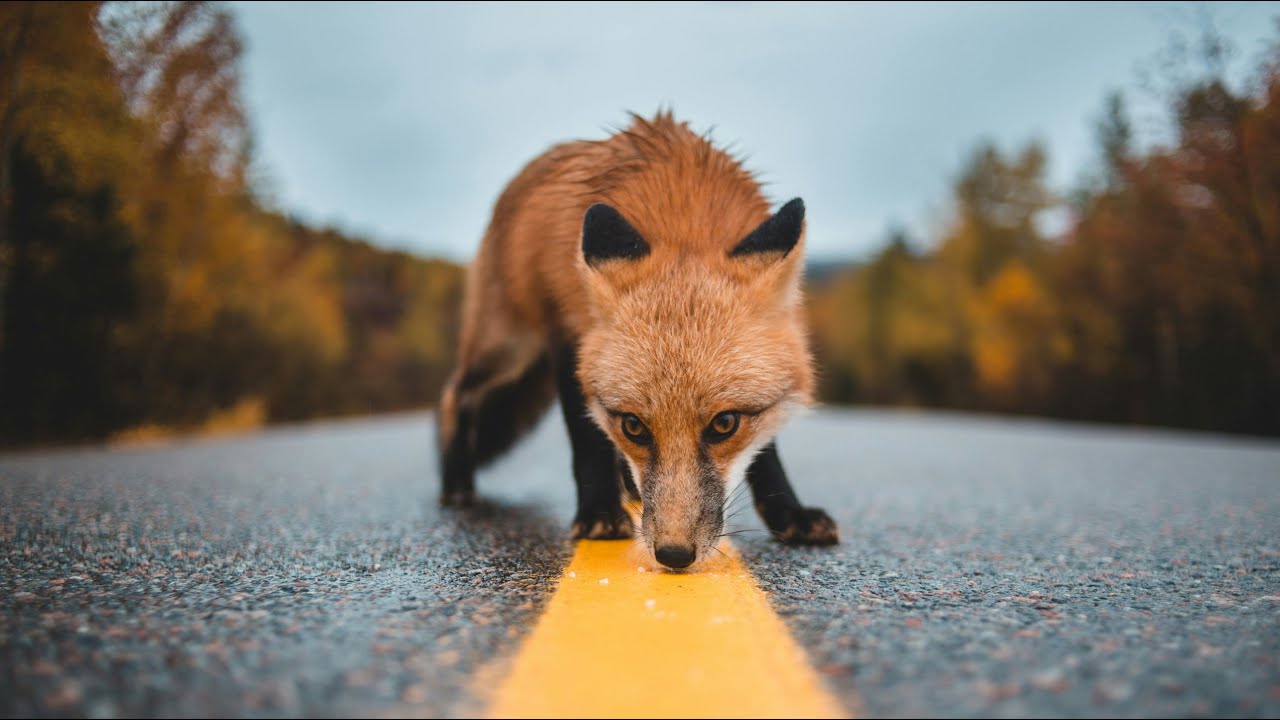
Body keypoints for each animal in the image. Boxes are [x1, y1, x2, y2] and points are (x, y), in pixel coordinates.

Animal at [437, 111, 838, 570]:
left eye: (725, 424)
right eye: (634, 426)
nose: (674, 554)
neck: (683, 215)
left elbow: (766, 451)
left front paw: (789, 513)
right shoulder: (568, 337)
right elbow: (586, 438)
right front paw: (598, 513)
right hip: (507, 347)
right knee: (455, 394)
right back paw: (456, 482)